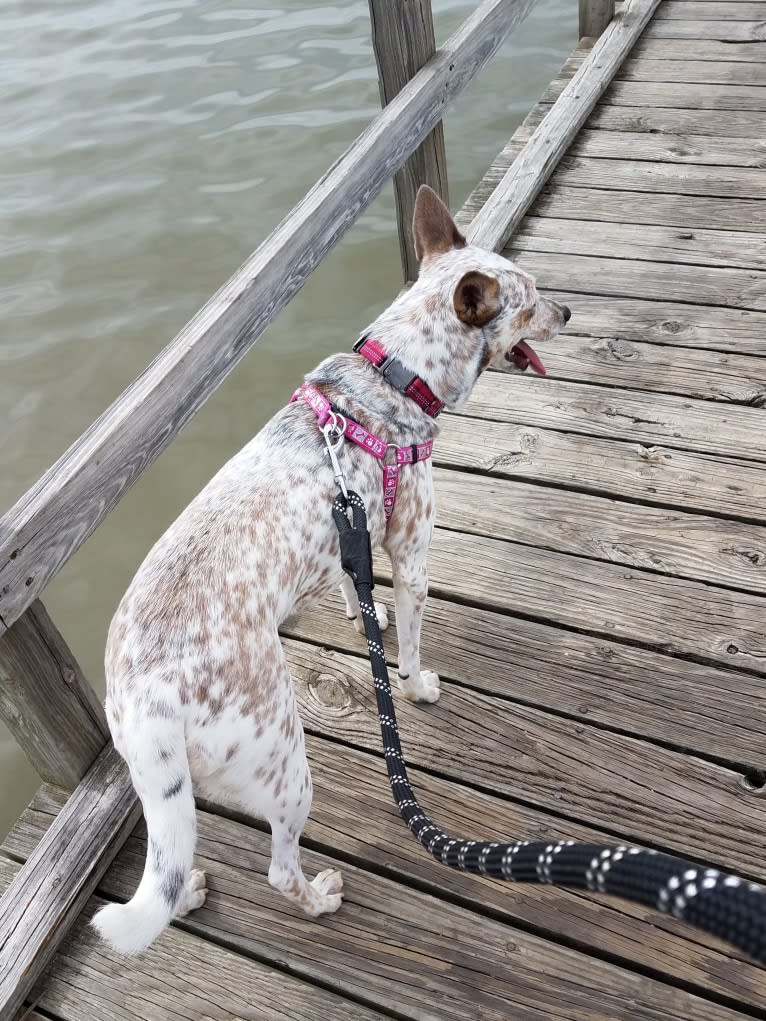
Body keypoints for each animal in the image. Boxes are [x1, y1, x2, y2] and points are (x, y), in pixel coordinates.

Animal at [91, 185, 571, 955]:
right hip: (287, 765)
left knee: (169, 867)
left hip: (166, 785)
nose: (569, 311)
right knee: (278, 870)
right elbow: (409, 649)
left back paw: (189, 893)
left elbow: (356, 585)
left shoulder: (358, 531)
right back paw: (320, 898)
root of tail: (148, 696)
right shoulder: (412, 553)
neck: (395, 373)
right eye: (528, 301)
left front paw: (359, 612)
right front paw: (420, 686)